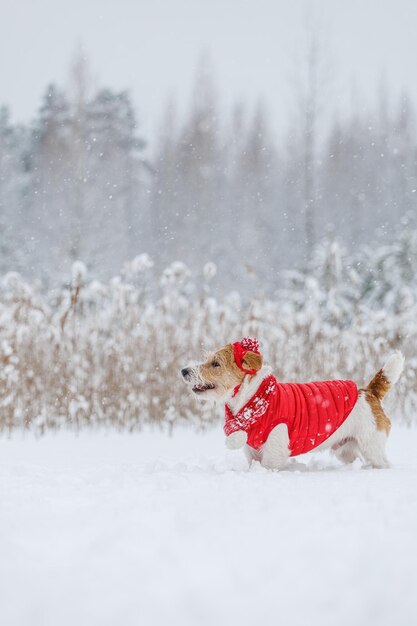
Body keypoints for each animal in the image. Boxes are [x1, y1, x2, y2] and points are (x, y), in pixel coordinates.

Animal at [181, 336, 404, 468]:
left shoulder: (273, 452)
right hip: (346, 449)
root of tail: (369, 392)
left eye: (215, 364)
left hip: (372, 447)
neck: (254, 399)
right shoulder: (252, 452)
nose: (183, 371)